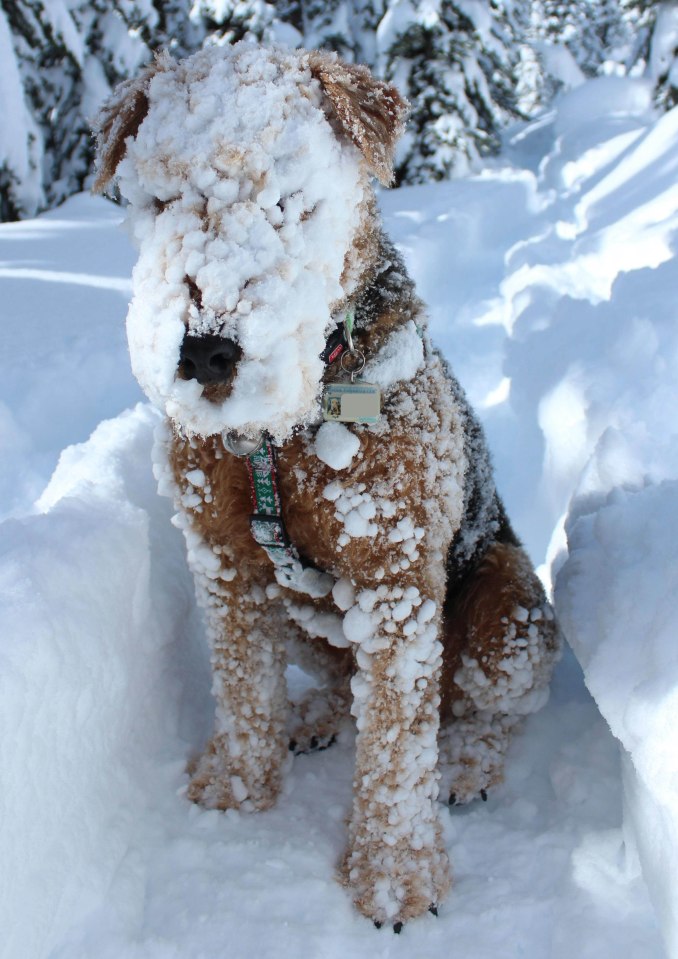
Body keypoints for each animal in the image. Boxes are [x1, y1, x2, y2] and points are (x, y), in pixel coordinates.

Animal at [95, 43, 564, 928]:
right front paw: (238, 786)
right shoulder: (223, 558)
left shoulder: (395, 576)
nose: (206, 351)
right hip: (303, 614)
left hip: (508, 617)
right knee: (345, 689)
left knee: (477, 709)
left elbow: (396, 742)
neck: (282, 433)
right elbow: (243, 685)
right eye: (159, 199)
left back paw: (466, 765)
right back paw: (309, 718)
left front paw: (395, 876)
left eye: (290, 196)